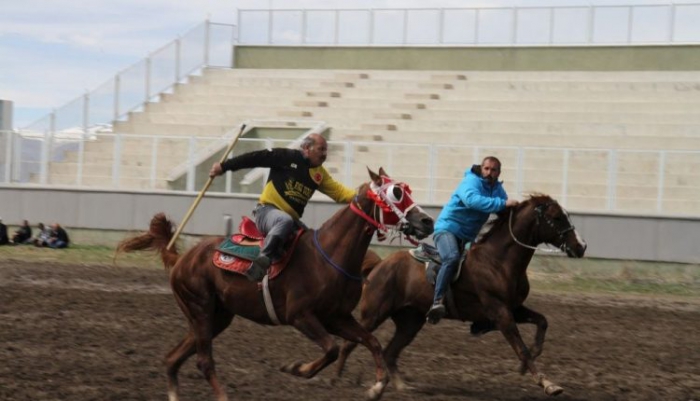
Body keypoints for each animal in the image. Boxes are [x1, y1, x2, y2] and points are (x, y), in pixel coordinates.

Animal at [115, 168, 432, 400]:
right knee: (203, 361)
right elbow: (331, 349)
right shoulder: (300, 316)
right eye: (397, 193)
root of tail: (182, 257)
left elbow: (371, 342)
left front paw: (376, 387)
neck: (329, 255)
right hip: (199, 309)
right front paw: (296, 367)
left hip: (216, 317)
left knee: (173, 359)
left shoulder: (337, 317)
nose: (427, 221)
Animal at [336, 193, 588, 394]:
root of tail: (379, 265)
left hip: (411, 321)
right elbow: (521, 348)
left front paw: (529, 362)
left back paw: (401, 386)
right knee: (349, 343)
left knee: (389, 352)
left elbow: (542, 321)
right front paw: (548, 383)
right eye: (557, 217)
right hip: (373, 315)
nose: (581, 246)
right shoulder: (501, 313)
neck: (498, 261)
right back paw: (337, 378)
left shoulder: (514, 309)